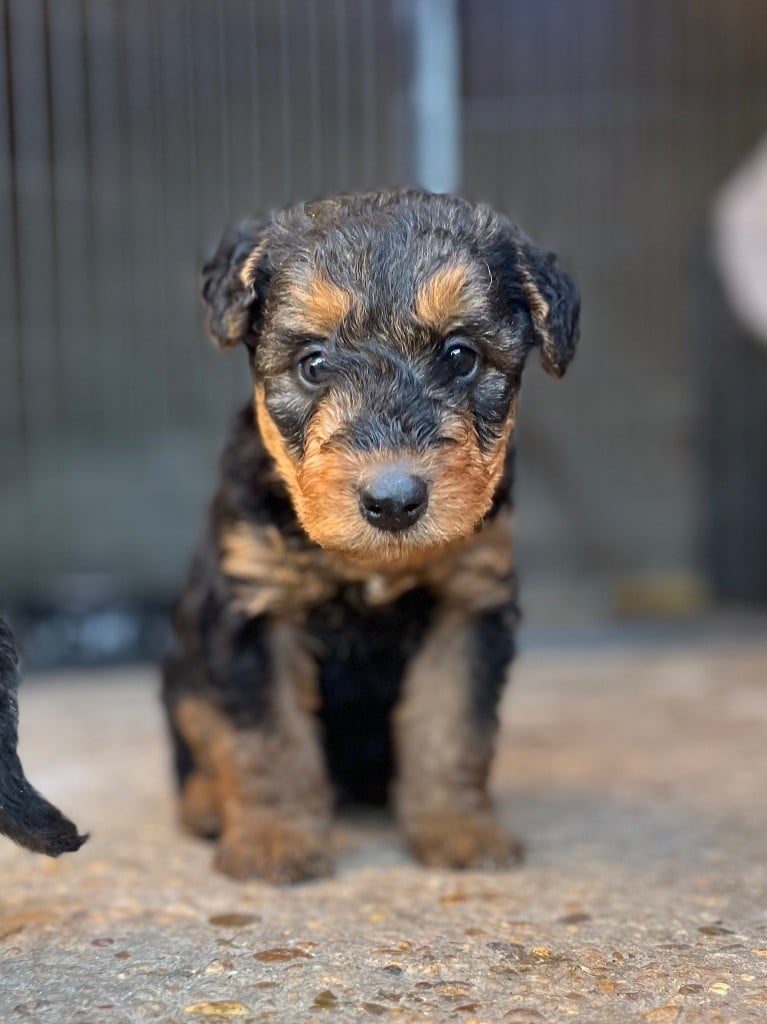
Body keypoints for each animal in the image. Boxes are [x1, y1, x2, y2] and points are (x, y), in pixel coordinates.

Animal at [162, 190, 581, 880]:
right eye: (313, 363)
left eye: (461, 356)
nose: (393, 501)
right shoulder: (251, 609)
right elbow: (264, 738)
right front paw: (276, 840)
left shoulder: (469, 605)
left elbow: (452, 729)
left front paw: (459, 831)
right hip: (184, 668)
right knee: (197, 736)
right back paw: (205, 805)